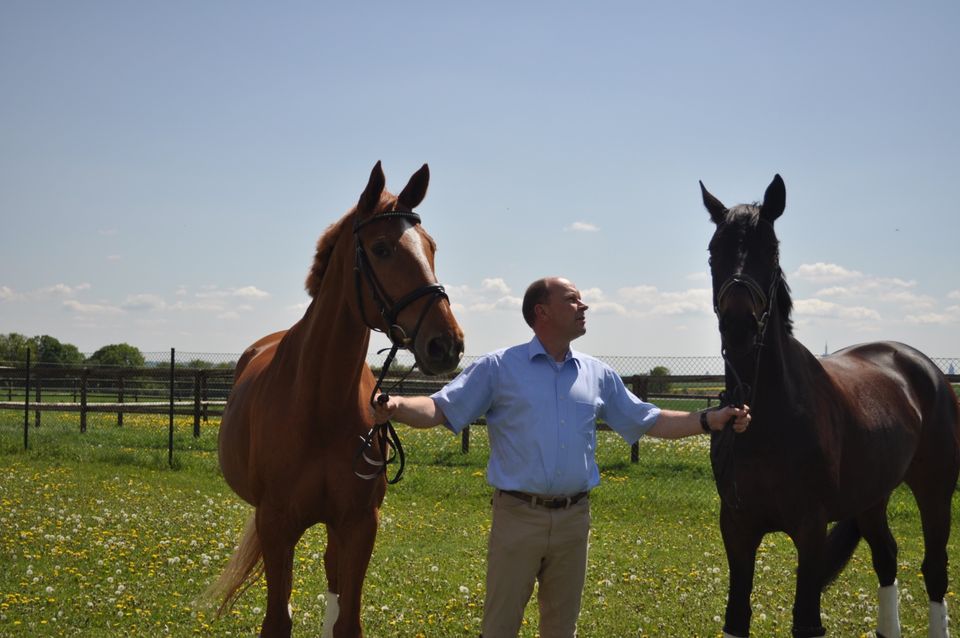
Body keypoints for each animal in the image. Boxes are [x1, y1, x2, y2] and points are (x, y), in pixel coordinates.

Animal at [211, 162, 464, 636]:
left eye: (431, 247)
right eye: (382, 248)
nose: (447, 344)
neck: (319, 405)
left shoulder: (359, 524)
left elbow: (347, 622)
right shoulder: (276, 525)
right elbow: (278, 620)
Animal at [696, 172, 960, 636]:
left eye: (772, 250)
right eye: (714, 251)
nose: (739, 328)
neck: (769, 414)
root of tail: (926, 369)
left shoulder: (811, 527)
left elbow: (806, 619)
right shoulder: (737, 527)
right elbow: (736, 617)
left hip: (935, 488)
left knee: (934, 570)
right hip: (873, 496)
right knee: (886, 556)